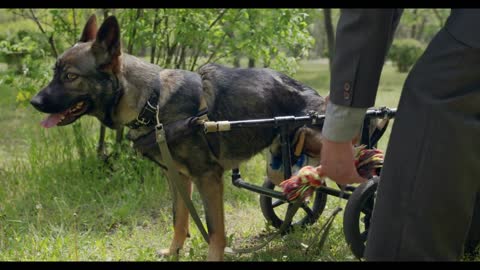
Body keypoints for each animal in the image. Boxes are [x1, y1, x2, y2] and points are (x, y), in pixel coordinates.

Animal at [28, 15, 324, 262]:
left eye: (70, 76)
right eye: (55, 72)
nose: (34, 102)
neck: (152, 103)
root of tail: (316, 95)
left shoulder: (207, 178)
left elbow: (214, 230)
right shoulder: (177, 177)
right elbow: (179, 218)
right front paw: (174, 252)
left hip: (311, 140)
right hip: (280, 162)